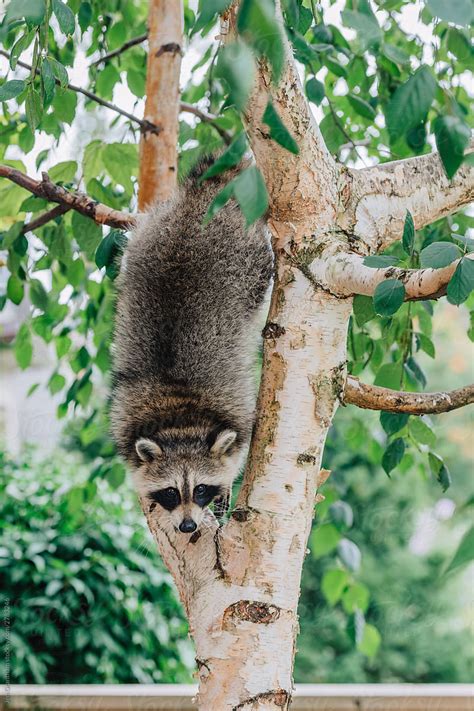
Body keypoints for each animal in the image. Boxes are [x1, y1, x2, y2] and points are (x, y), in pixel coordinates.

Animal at [110, 157, 272, 536]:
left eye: (200, 489)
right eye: (171, 492)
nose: (187, 527)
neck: (180, 416)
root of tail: (197, 202)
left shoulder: (238, 414)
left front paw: (226, 489)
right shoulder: (125, 419)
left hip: (247, 255)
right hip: (147, 233)